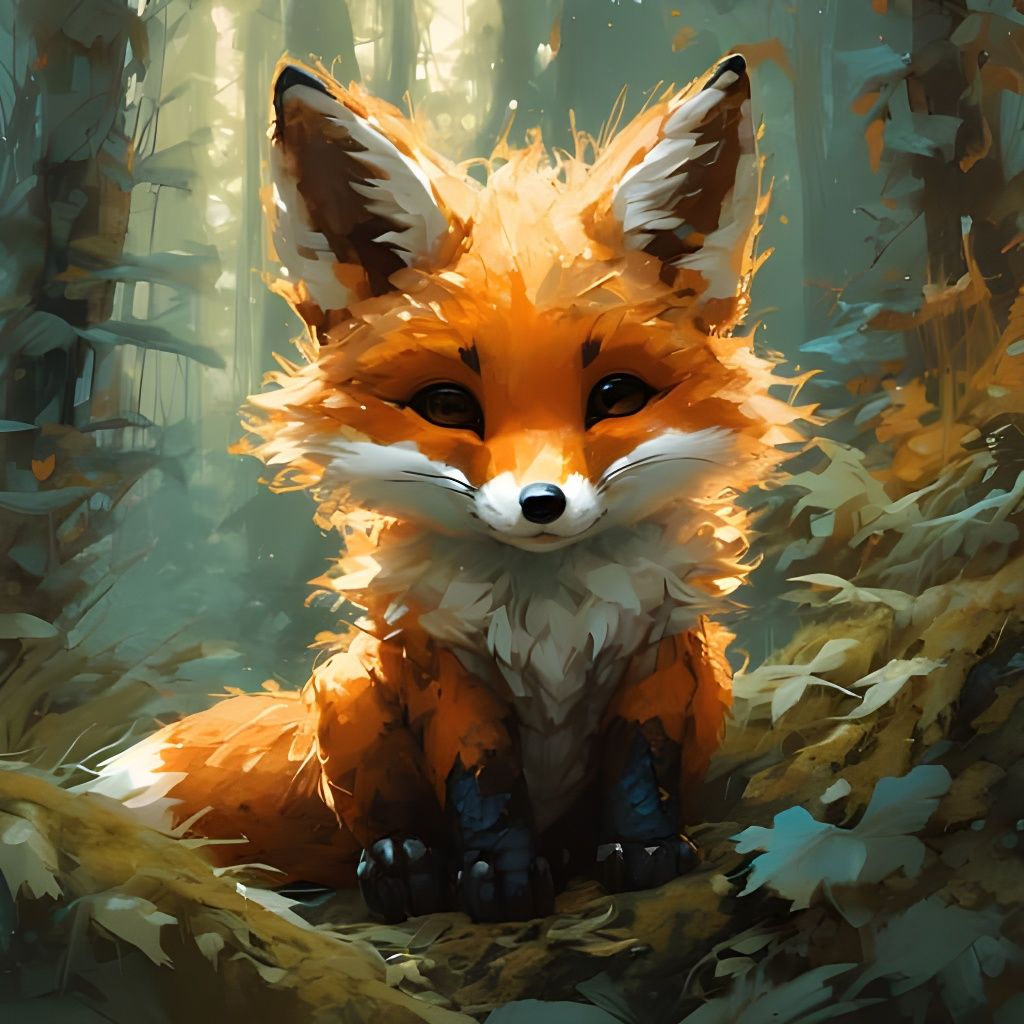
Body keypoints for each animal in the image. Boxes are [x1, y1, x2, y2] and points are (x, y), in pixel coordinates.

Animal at [87, 53, 801, 923]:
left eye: (616, 395)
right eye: (450, 405)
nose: (541, 505)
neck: (550, 620)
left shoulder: (663, 656)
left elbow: (641, 770)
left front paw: (642, 852)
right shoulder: (447, 671)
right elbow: (481, 786)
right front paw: (500, 879)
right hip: (348, 692)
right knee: (380, 824)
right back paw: (404, 865)